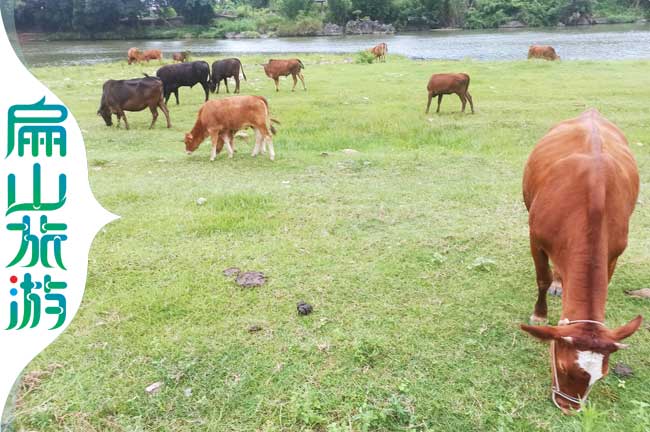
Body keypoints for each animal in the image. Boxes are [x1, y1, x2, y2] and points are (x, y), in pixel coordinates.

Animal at [520, 109, 640, 414]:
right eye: (563, 368)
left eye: (602, 375)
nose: (568, 407)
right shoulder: (535, 237)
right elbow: (542, 278)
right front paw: (539, 313)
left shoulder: (614, 252)